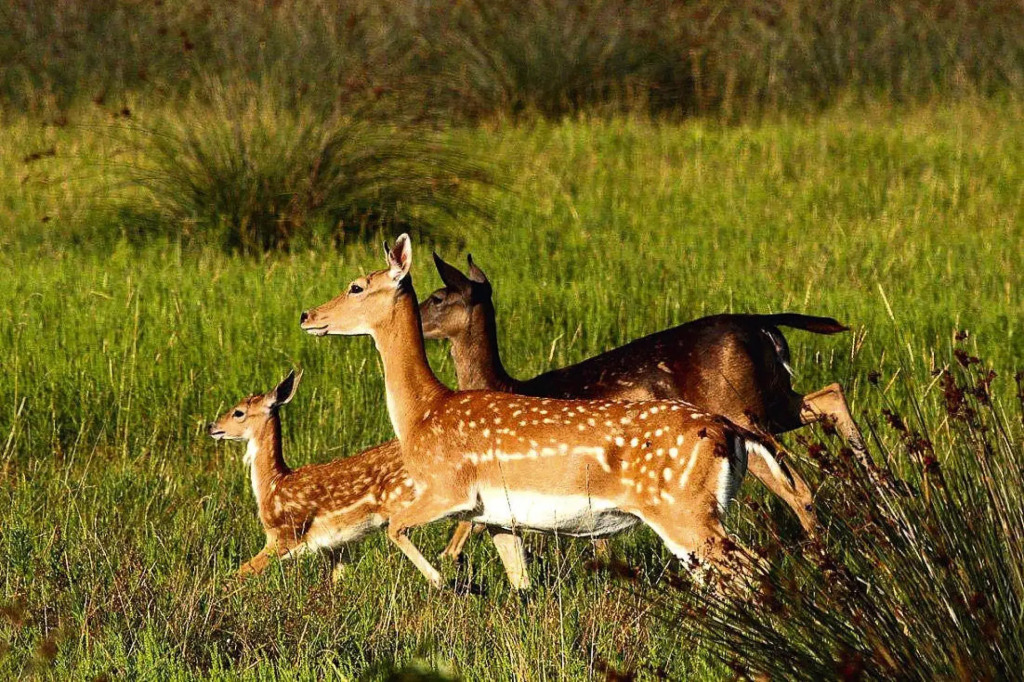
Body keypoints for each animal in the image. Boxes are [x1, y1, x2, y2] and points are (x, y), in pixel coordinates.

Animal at [206, 369, 531, 586]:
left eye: (238, 412)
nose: (212, 426)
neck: (273, 486)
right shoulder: (336, 547)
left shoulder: (285, 535)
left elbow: (238, 574)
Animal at [299, 234, 788, 589]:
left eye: (356, 286)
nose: (307, 315)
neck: (422, 413)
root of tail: (731, 433)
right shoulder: (497, 517)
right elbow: (522, 584)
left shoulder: (450, 489)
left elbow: (394, 527)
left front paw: (445, 582)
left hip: (685, 510)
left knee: (752, 570)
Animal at [420, 252, 871, 559]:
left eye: (438, 297)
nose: (414, 318)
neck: (507, 386)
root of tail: (762, 322)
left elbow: (470, 517)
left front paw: (444, 567)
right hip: (773, 400)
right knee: (830, 396)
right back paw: (874, 488)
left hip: (739, 408)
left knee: (797, 485)